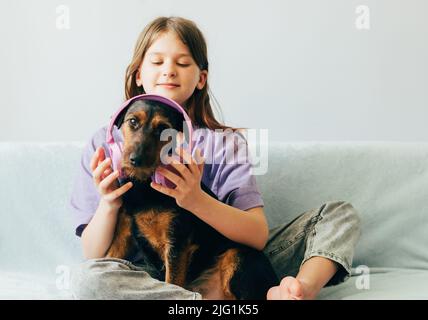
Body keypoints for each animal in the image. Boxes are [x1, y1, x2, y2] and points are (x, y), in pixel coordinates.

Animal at [103, 98, 278, 300]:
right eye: (132, 121)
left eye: (163, 129)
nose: (135, 160)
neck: (144, 185)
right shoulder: (123, 232)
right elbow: (106, 258)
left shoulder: (176, 242)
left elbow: (171, 283)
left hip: (238, 258)